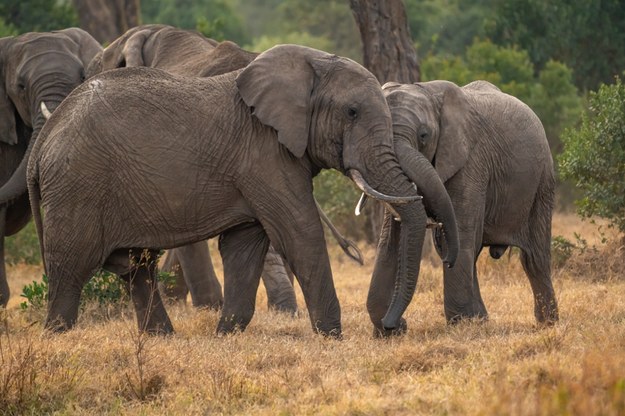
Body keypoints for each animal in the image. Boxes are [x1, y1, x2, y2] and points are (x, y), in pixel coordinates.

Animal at [366, 79, 556, 330]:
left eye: (424, 136)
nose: (395, 323)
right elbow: (390, 239)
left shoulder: (471, 159)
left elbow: (460, 232)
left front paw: (462, 324)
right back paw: (482, 319)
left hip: (543, 181)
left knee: (534, 258)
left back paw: (548, 323)